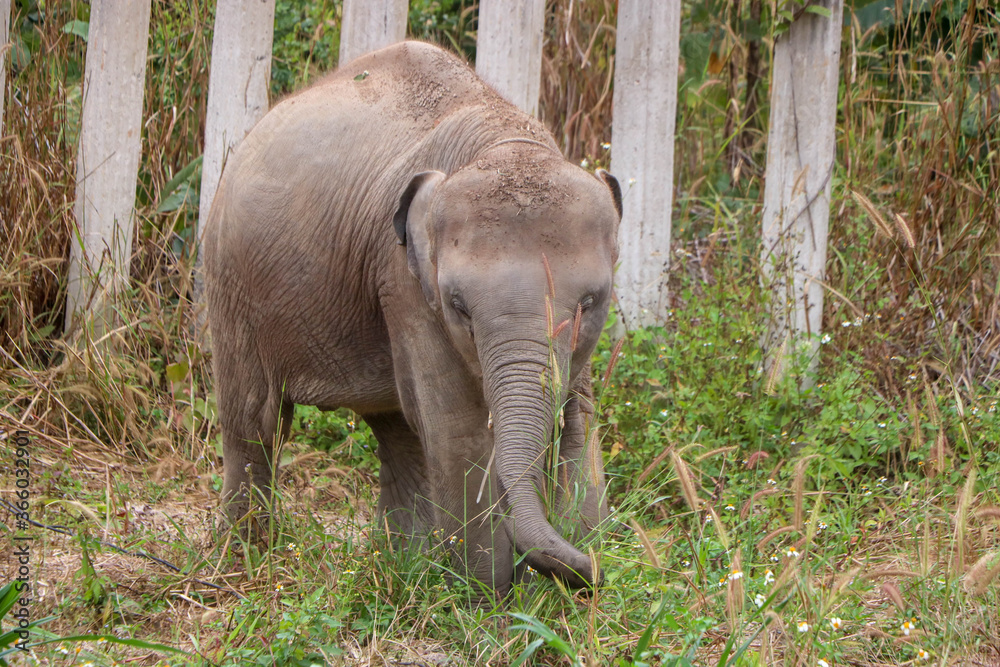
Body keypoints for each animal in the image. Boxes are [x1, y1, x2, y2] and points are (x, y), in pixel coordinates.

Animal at [203, 41, 622, 591]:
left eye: (590, 302)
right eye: (458, 305)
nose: (594, 571)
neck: (501, 140)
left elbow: (579, 418)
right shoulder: (403, 280)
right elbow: (456, 426)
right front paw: (489, 602)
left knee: (395, 431)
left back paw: (402, 566)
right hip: (231, 284)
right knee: (255, 423)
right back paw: (247, 561)